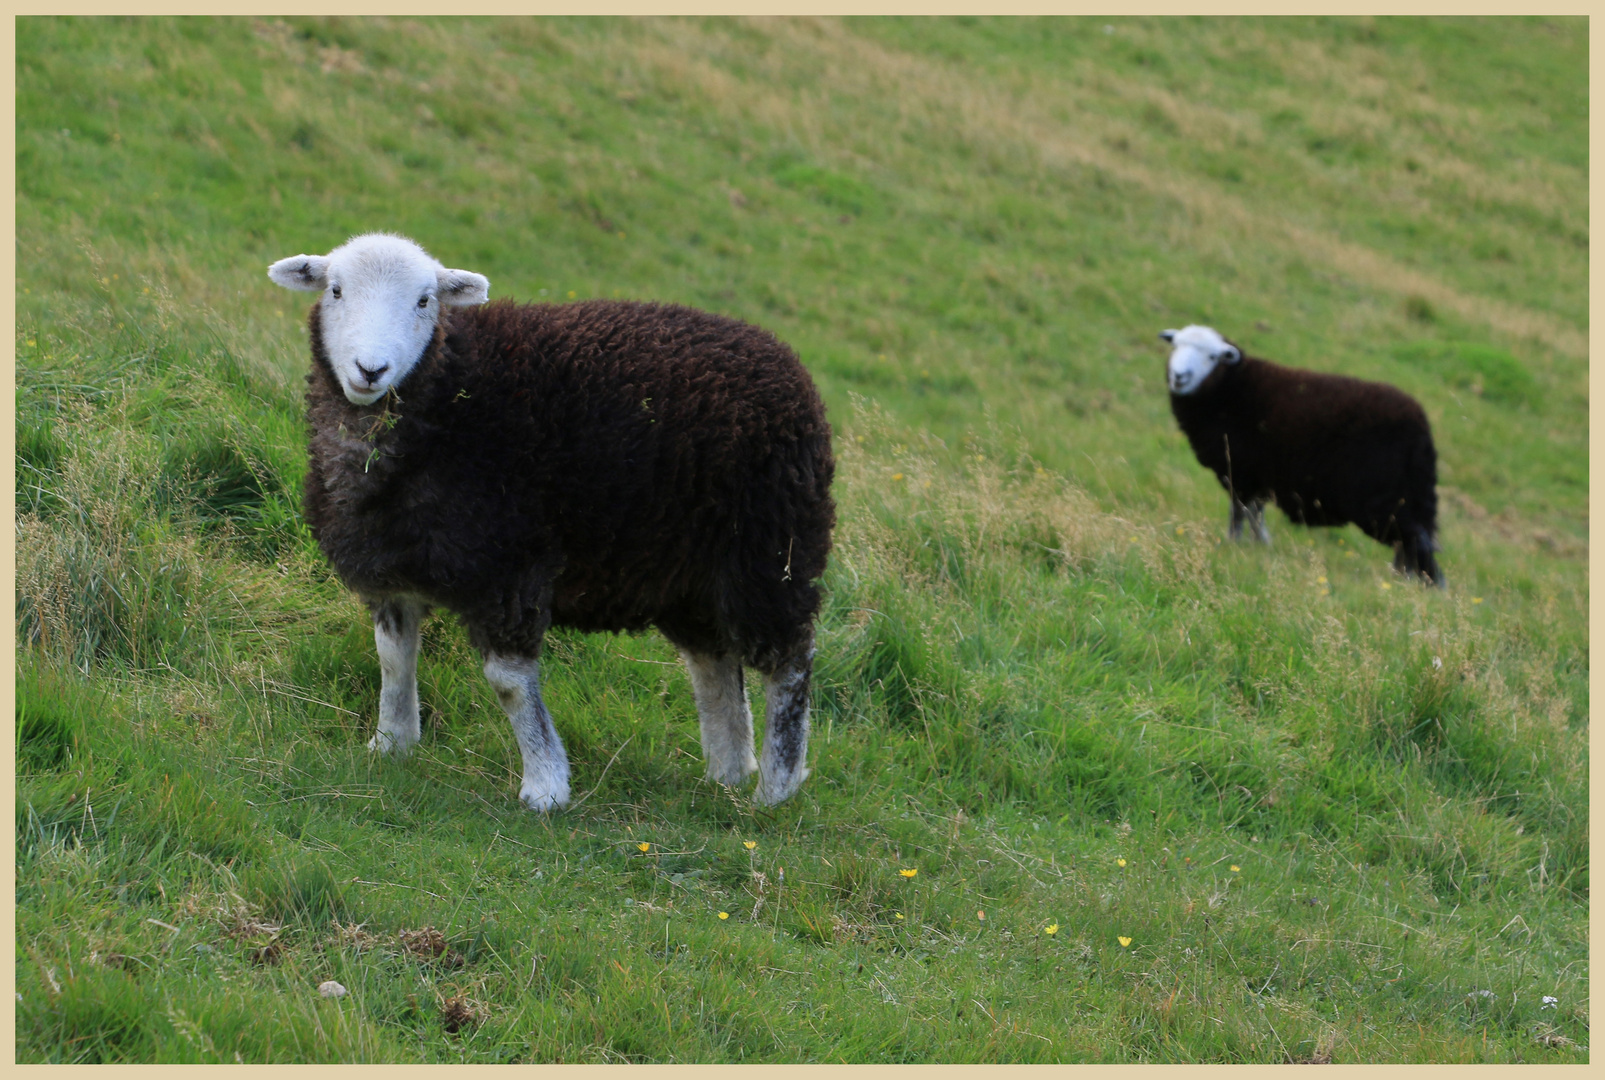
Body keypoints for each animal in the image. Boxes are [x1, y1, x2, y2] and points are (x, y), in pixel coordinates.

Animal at [268, 234, 834, 808]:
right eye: (335, 291)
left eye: (425, 301)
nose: (370, 370)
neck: (451, 396)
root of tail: (781, 357)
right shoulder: (389, 568)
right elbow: (392, 659)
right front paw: (391, 744)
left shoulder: (507, 567)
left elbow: (507, 682)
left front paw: (545, 786)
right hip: (685, 567)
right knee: (713, 660)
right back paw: (728, 772)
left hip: (770, 546)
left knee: (790, 659)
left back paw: (775, 789)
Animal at [1155, 324, 1444, 584]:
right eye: (1176, 345)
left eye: (1213, 357)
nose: (1179, 376)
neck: (1230, 389)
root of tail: (1420, 428)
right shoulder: (1258, 477)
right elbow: (1255, 514)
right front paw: (1260, 546)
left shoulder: (1240, 471)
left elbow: (1239, 513)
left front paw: (1234, 544)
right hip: (1406, 498)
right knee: (1412, 542)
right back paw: (1403, 580)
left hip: (1382, 498)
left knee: (1416, 542)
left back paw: (1421, 587)